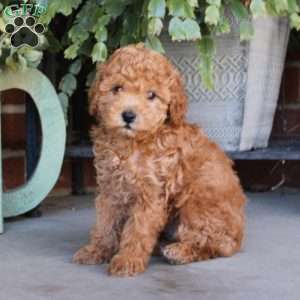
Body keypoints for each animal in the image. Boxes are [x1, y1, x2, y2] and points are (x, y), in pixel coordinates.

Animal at [73, 44, 246, 276]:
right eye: (117, 89)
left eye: (151, 95)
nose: (128, 115)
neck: (132, 142)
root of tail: (239, 236)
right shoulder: (110, 187)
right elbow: (105, 223)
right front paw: (97, 250)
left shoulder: (151, 191)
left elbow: (138, 229)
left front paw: (127, 260)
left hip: (197, 202)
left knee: (215, 243)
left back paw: (179, 251)